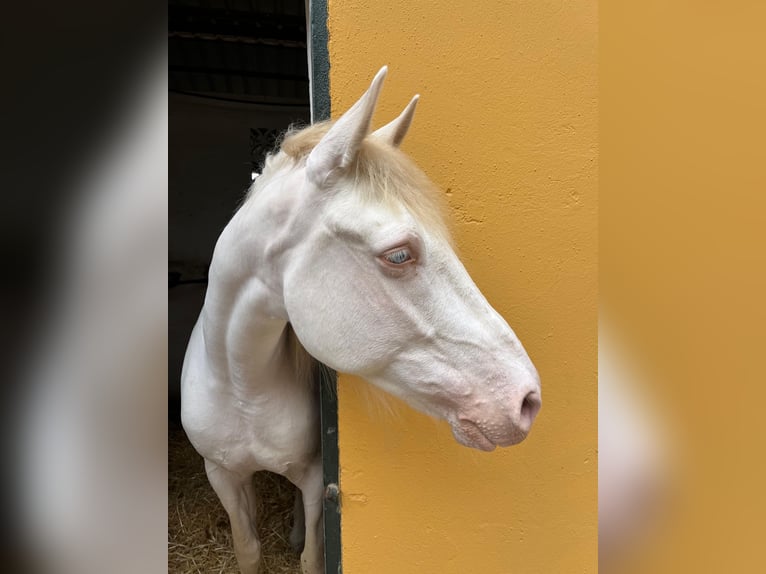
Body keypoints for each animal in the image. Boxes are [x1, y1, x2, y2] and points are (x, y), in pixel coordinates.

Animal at [180, 66, 542, 574]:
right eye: (399, 255)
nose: (527, 400)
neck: (242, 385)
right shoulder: (223, 476)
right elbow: (247, 550)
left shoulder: (316, 477)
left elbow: (312, 556)